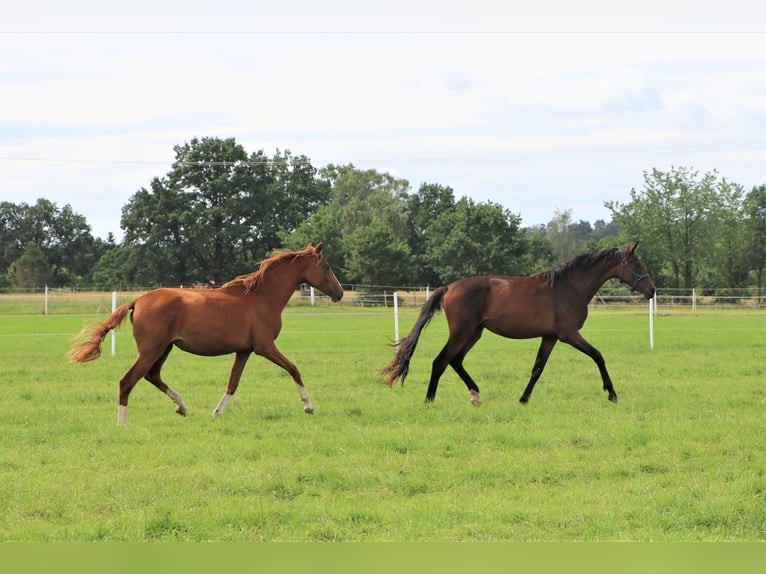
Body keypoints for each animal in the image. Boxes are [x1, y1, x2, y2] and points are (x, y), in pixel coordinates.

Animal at [69, 241, 344, 426]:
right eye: (326, 266)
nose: (339, 293)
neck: (261, 298)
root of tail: (137, 301)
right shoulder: (265, 347)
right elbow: (293, 369)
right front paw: (308, 406)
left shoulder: (245, 351)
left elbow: (233, 383)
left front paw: (217, 413)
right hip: (151, 350)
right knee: (128, 381)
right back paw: (123, 422)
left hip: (163, 349)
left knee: (152, 376)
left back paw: (181, 406)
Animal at [380, 241, 656, 408]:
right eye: (637, 264)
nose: (652, 290)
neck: (569, 287)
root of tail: (449, 287)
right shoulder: (569, 334)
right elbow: (598, 356)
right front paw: (611, 393)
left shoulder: (550, 337)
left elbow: (537, 369)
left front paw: (523, 399)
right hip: (462, 332)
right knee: (441, 361)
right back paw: (429, 400)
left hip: (474, 333)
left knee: (455, 361)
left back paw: (475, 394)